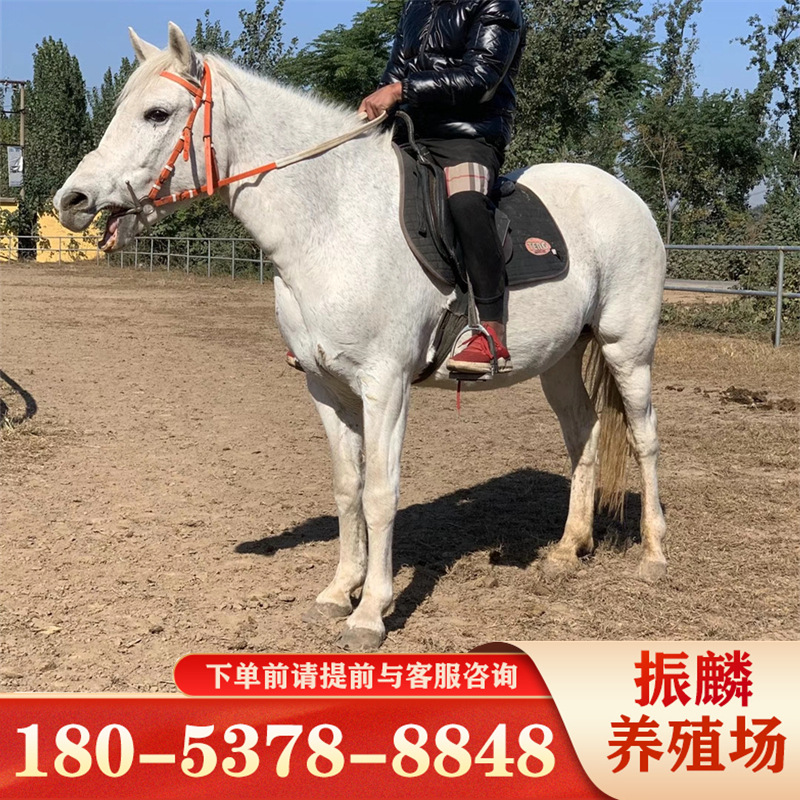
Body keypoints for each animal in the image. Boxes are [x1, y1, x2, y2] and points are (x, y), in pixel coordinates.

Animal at [55, 23, 668, 651]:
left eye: (157, 113)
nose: (72, 200)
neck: (331, 223)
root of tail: (626, 196)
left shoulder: (385, 387)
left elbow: (379, 493)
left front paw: (371, 611)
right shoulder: (327, 389)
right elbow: (348, 488)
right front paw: (336, 593)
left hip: (627, 348)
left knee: (643, 436)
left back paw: (653, 554)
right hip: (561, 360)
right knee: (583, 434)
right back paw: (568, 550)